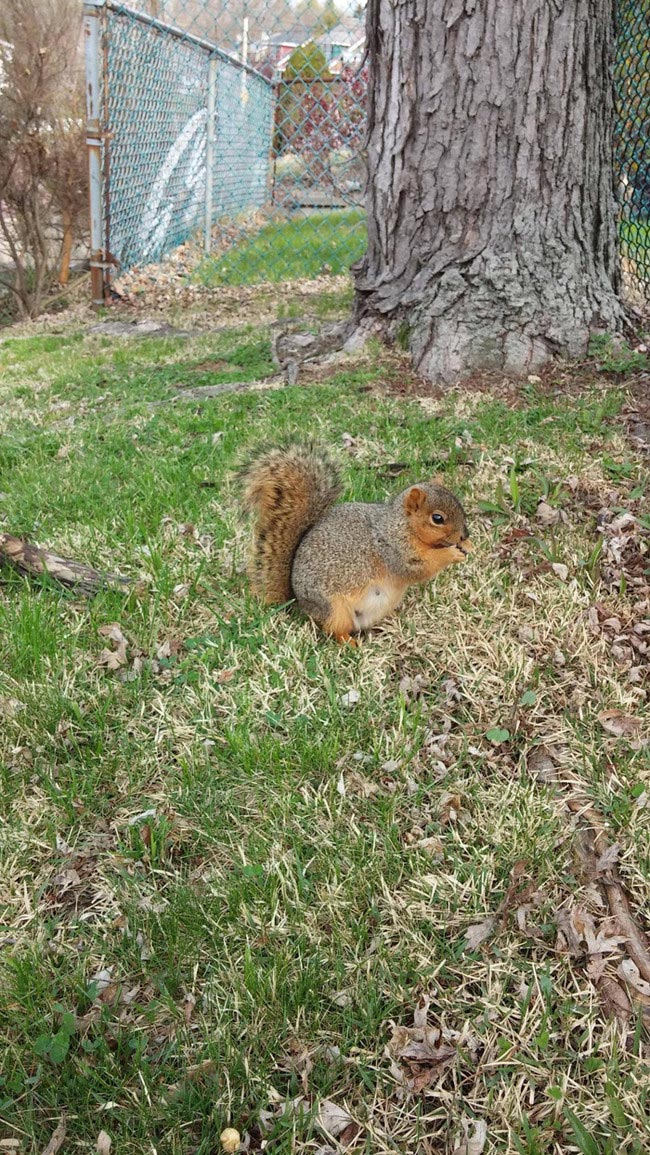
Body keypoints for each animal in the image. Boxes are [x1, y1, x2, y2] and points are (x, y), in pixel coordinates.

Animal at [241, 438, 471, 642]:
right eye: (437, 518)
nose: (465, 535)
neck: (401, 525)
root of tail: (300, 604)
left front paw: (468, 546)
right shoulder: (393, 549)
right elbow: (419, 568)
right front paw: (450, 554)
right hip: (335, 608)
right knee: (334, 630)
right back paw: (350, 644)